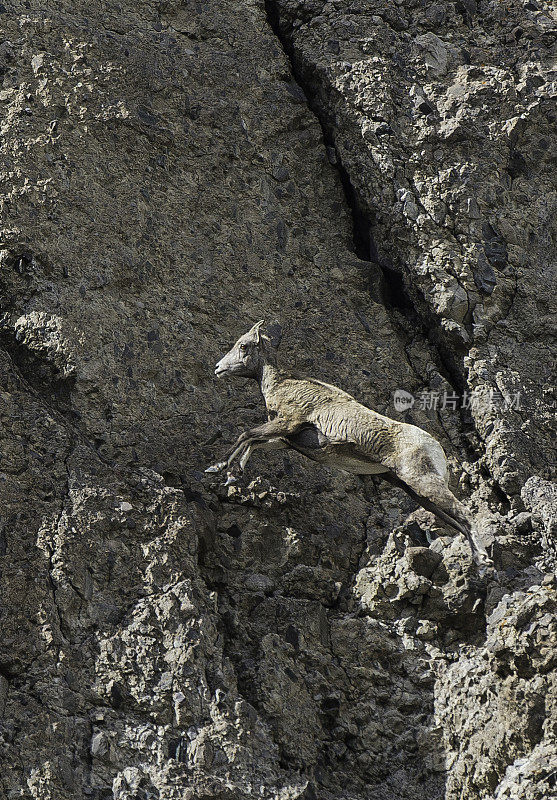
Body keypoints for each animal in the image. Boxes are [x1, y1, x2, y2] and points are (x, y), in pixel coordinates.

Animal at [207, 322, 490, 572]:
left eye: (244, 345)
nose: (218, 368)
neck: (281, 385)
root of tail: (436, 448)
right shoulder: (286, 440)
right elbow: (254, 443)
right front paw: (232, 475)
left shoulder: (287, 424)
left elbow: (246, 435)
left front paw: (218, 468)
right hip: (417, 492)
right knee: (456, 521)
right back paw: (480, 561)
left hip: (422, 481)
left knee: (464, 513)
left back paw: (484, 563)